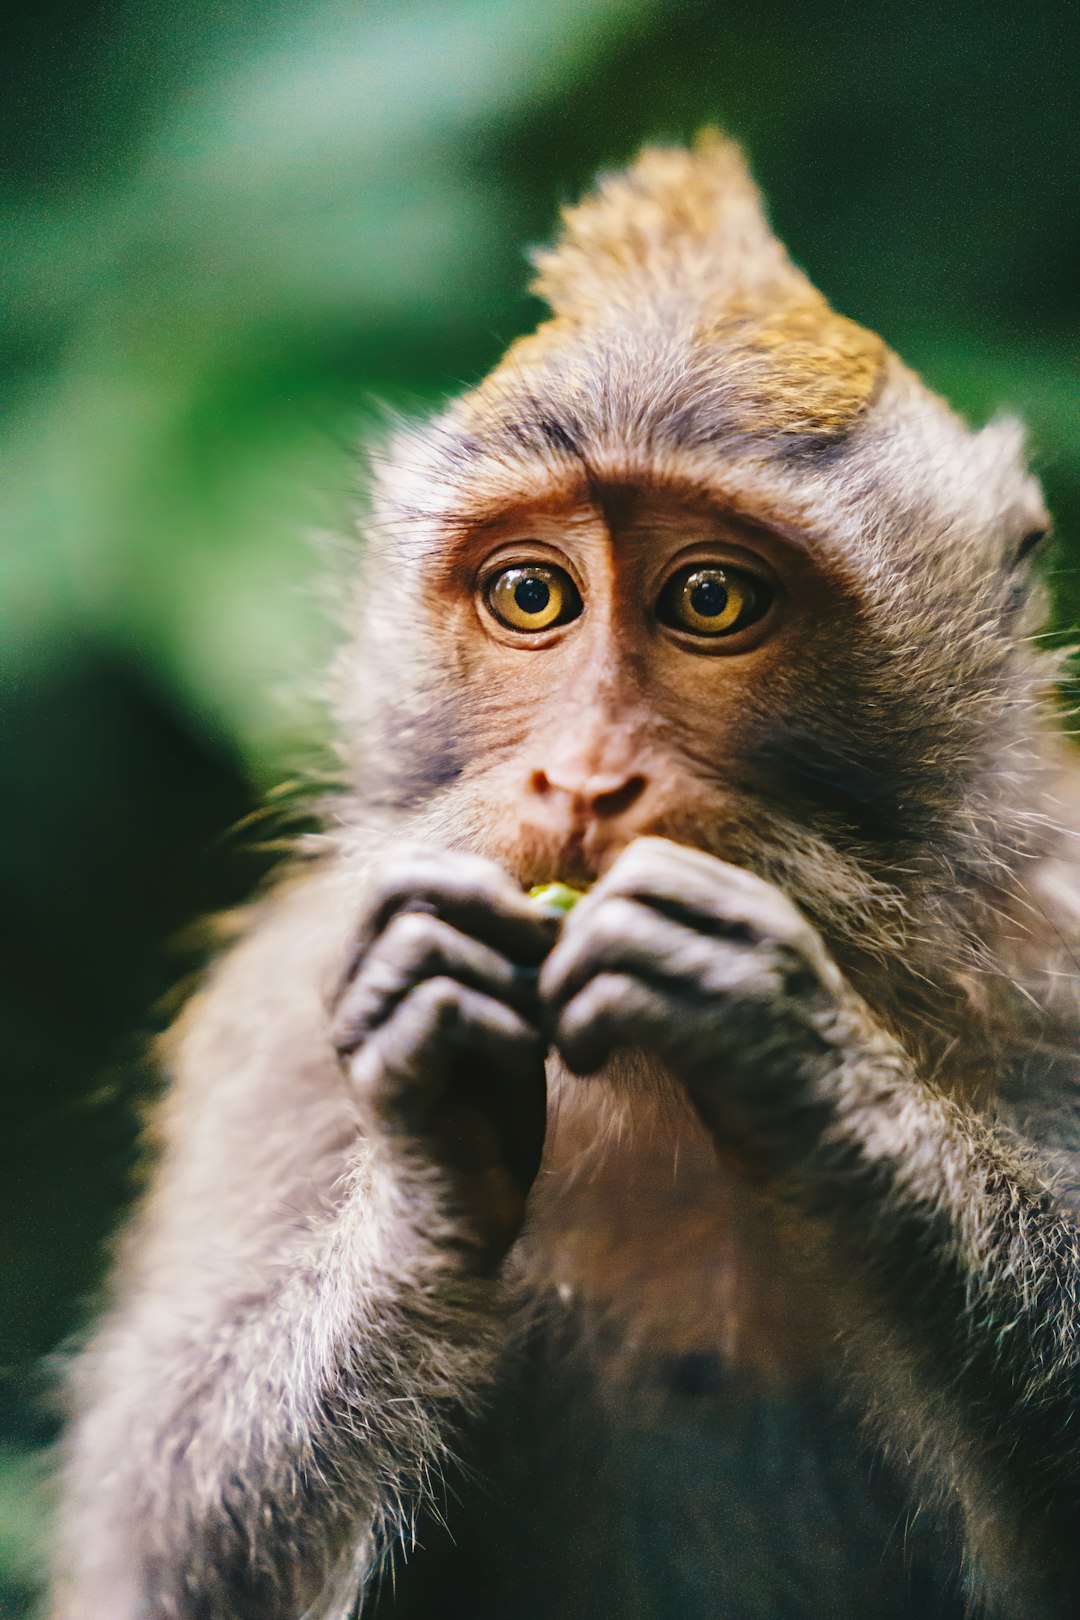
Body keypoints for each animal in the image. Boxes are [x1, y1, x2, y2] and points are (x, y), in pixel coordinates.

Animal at [50, 136, 1080, 1620]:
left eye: (710, 598)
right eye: (532, 596)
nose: (585, 778)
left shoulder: (1063, 948)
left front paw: (798, 1054)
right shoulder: (279, 1018)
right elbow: (153, 1550)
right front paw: (434, 1160)